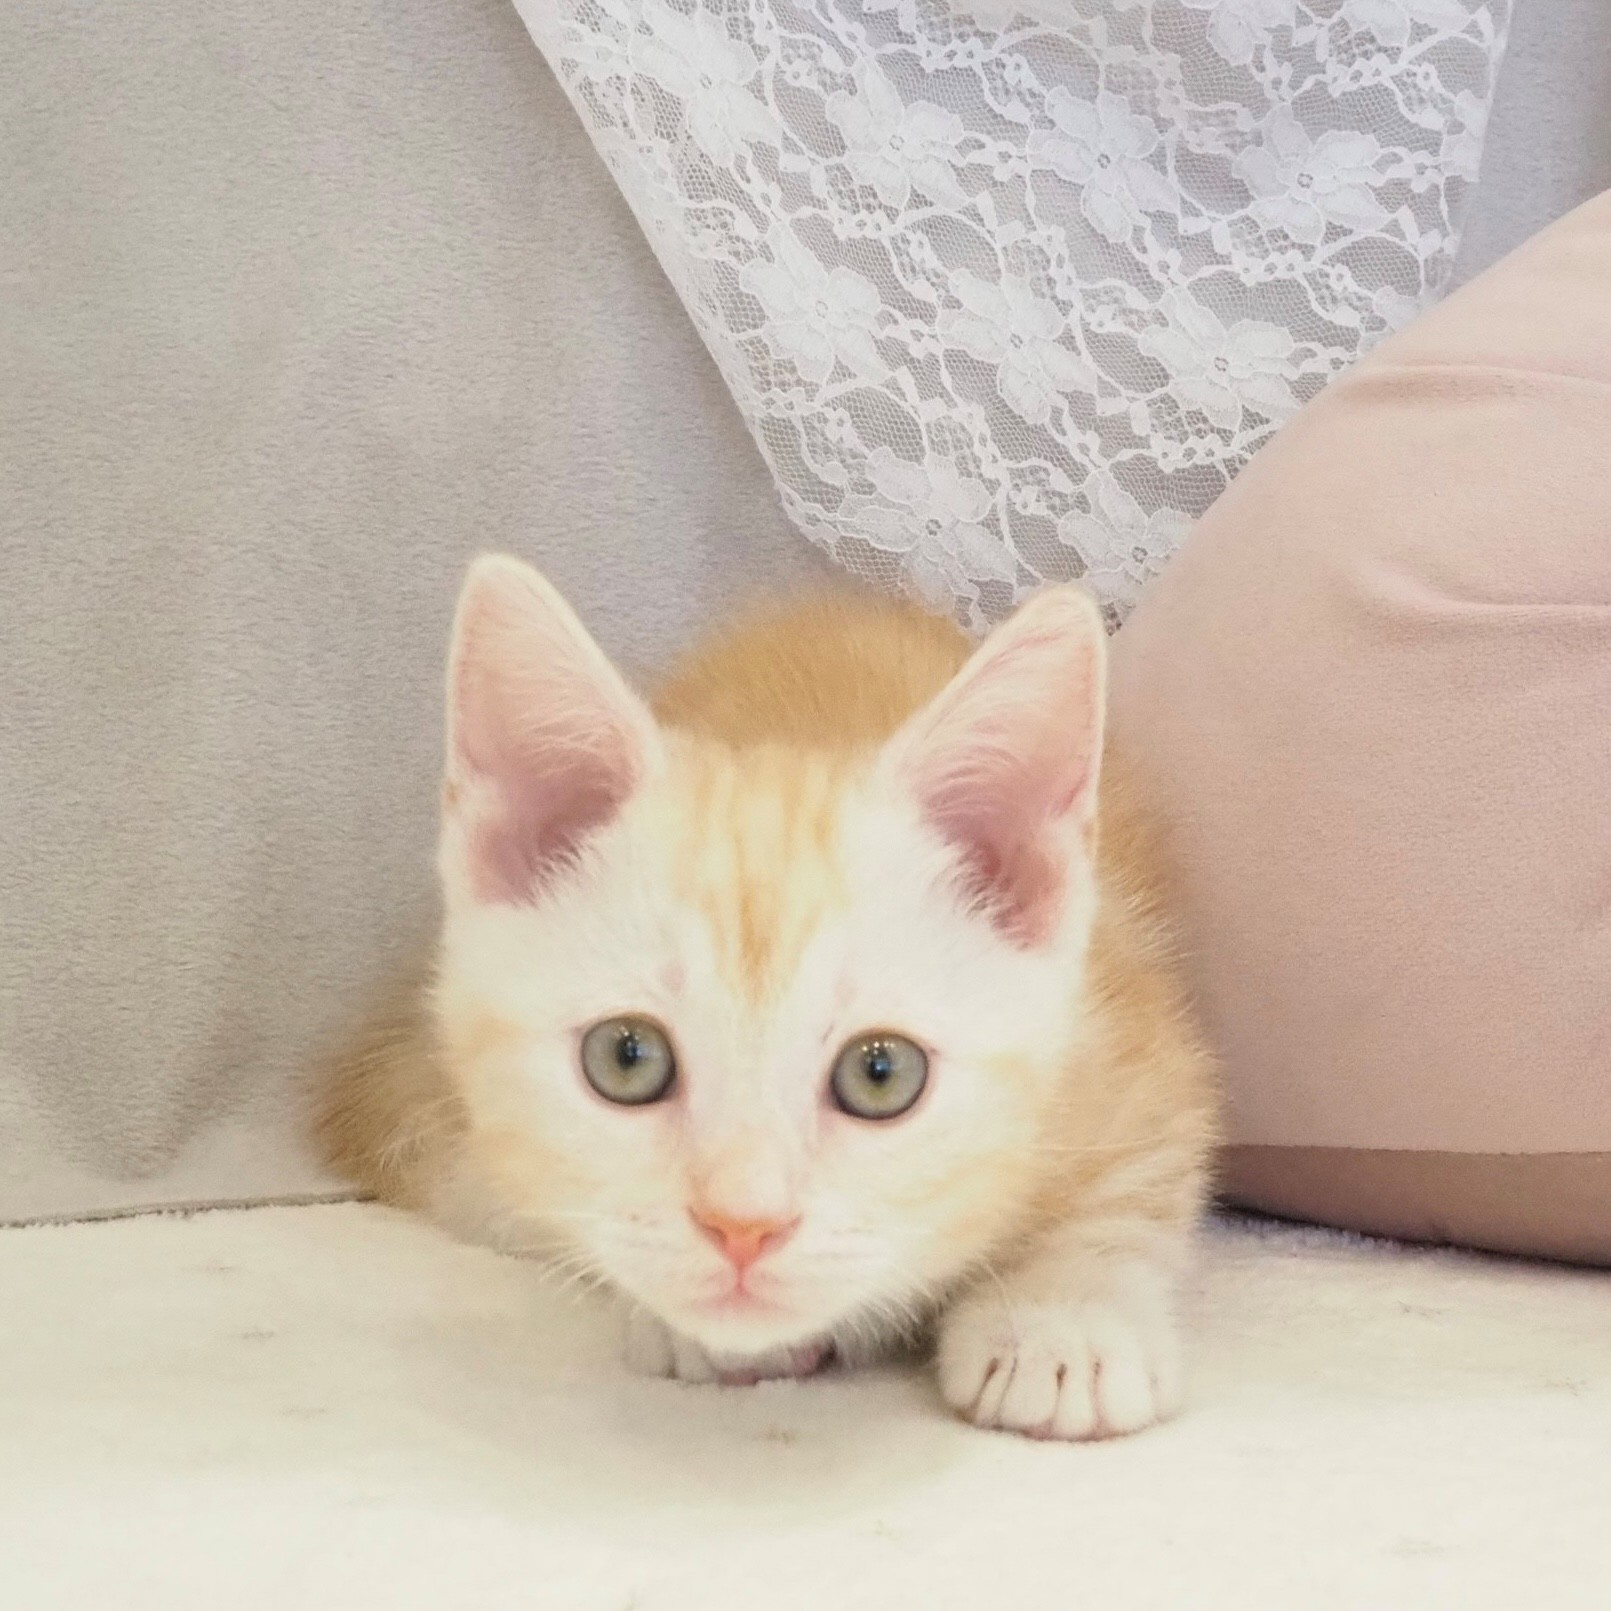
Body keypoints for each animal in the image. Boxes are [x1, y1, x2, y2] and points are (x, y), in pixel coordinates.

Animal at [318, 555, 1216, 1440]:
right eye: (625, 1058)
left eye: (881, 1074)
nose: (741, 1227)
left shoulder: (1132, 1024)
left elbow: (1138, 1179)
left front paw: (1064, 1320)